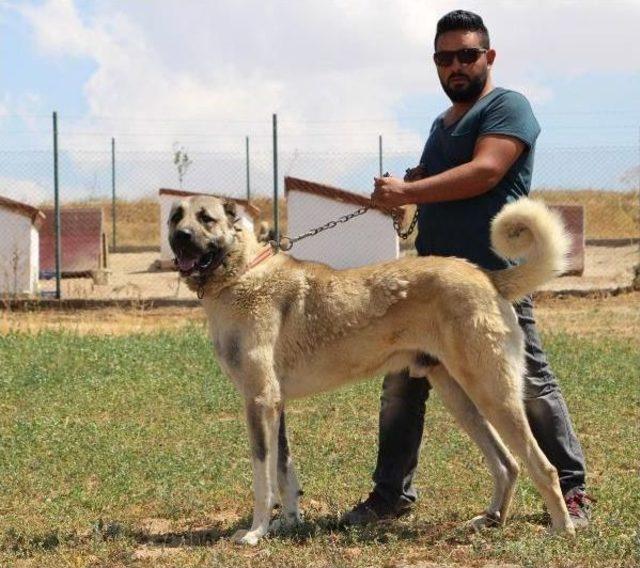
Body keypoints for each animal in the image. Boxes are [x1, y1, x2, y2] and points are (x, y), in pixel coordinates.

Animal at [168, 196, 572, 544]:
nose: (180, 238)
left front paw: (256, 532)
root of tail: (487, 276)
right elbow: (284, 473)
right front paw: (288, 524)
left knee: (543, 467)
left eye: (206, 218)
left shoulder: (258, 402)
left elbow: (262, 479)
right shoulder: (275, 405)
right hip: (461, 399)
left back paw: (561, 530)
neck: (241, 274)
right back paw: (490, 520)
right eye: (175, 217)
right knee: (507, 464)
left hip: (492, 393)